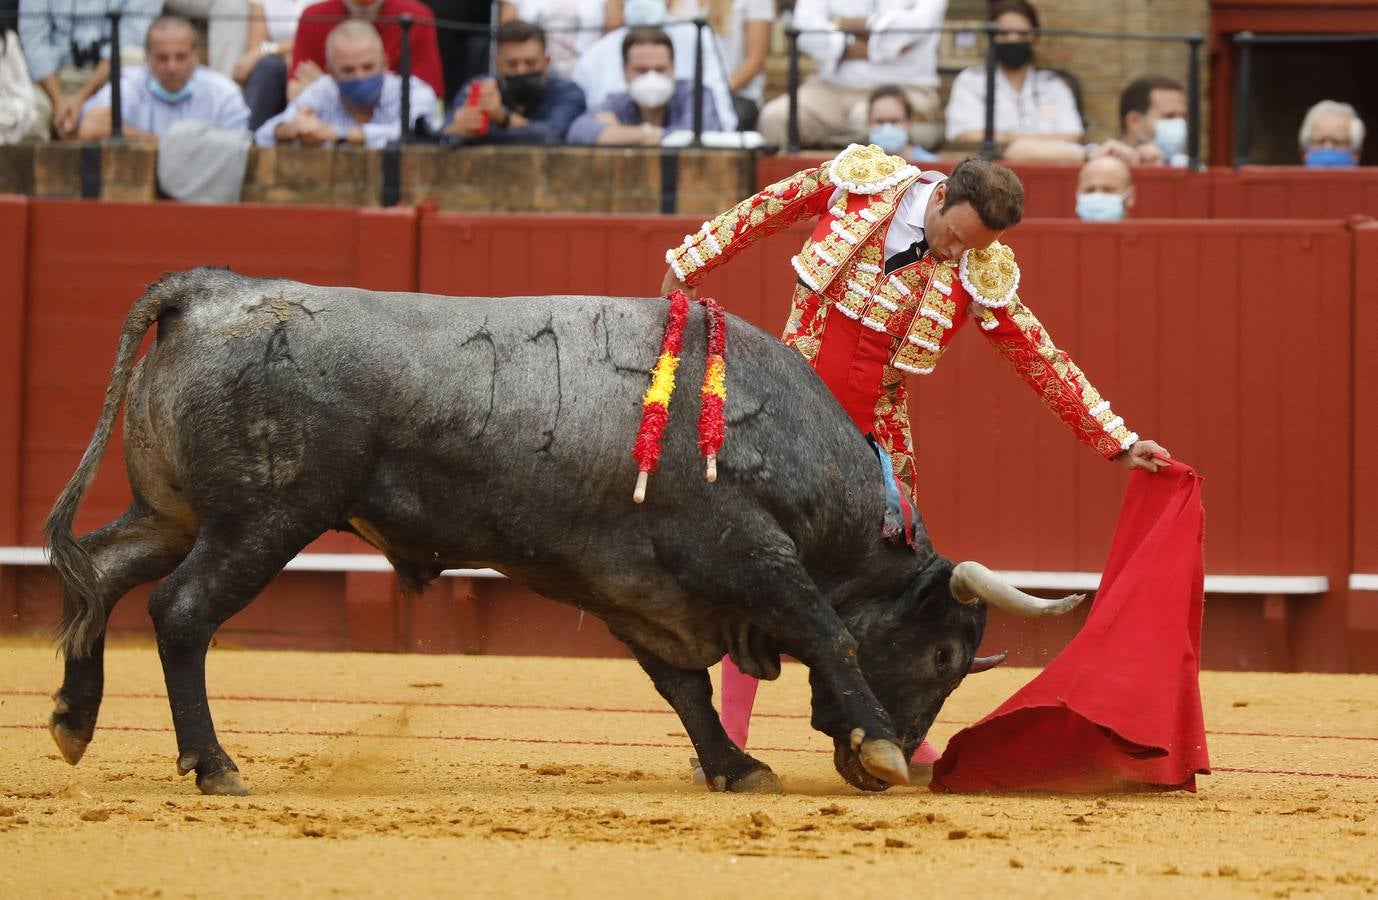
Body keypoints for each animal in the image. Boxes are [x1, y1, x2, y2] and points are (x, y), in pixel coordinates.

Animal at [45, 267, 1085, 793]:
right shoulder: (750, 556)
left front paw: (735, 769)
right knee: (181, 612)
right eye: (946, 655)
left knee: (98, 572)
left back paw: (71, 721)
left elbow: (682, 688)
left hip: (175, 511)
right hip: (264, 518)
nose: (908, 752)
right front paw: (871, 746)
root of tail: (208, 292)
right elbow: (829, 634)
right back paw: (214, 767)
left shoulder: (636, 591)